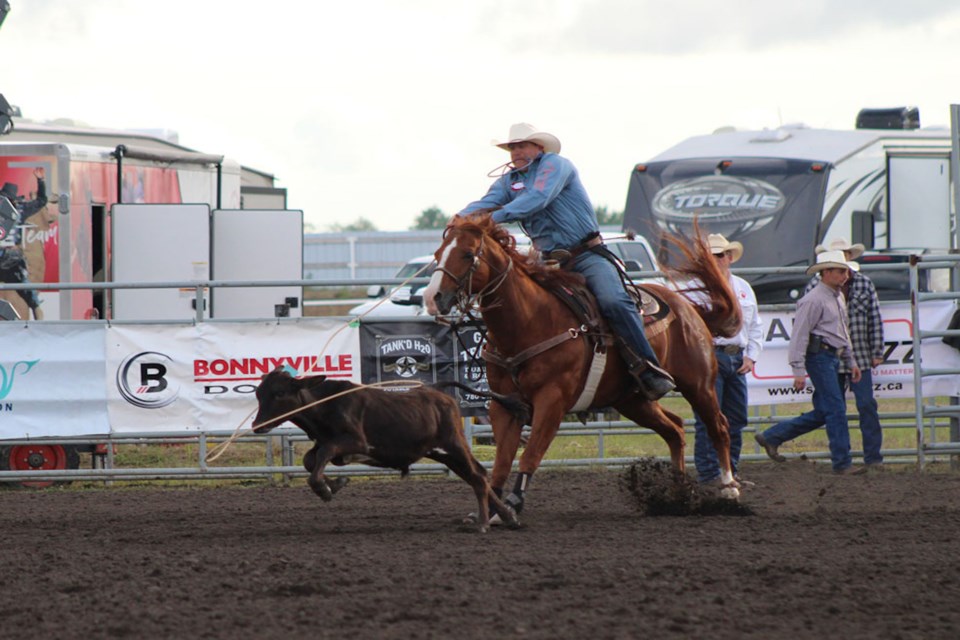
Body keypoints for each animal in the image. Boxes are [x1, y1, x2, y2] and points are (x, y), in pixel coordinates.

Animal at [424, 215, 748, 516]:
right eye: (438, 253)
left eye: (467, 254)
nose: (431, 297)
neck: (530, 320)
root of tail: (690, 309)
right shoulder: (504, 405)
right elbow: (502, 460)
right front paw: (493, 509)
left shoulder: (552, 402)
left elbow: (531, 453)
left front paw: (514, 503)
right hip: (633, 400)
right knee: (676, 429)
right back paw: (678, 493)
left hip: (699, 385)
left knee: (719, 427)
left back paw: (729, 490)